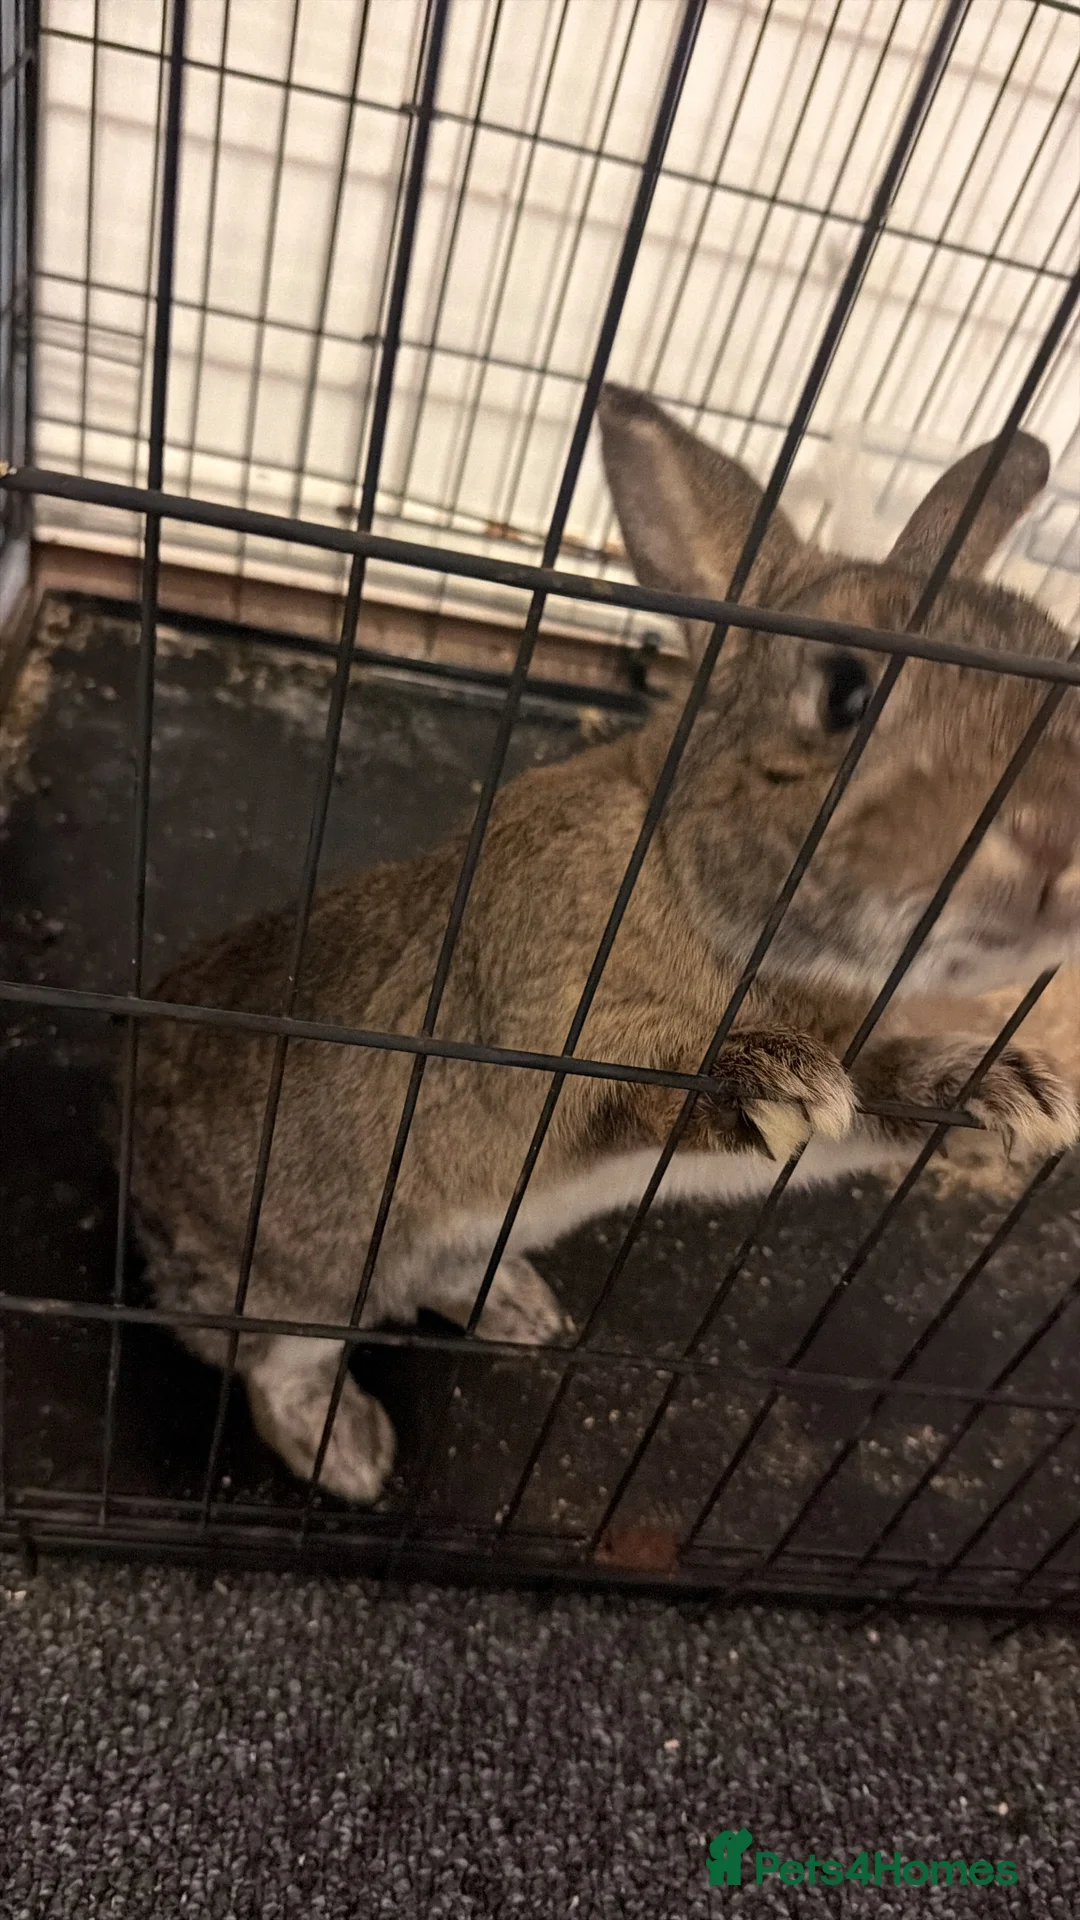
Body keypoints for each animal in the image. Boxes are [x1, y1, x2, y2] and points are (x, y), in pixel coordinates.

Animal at [130, 383, 1080, 1503]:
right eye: (846, 691)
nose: (1060, 836)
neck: (684, 882)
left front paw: (1007, 1099)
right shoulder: (534, 1024)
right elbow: (638, 1085)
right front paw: (767, 1079)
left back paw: (521, 1314)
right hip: (299, 1277)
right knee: (279, 1364)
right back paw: (349, 1455)